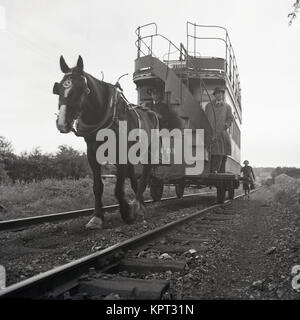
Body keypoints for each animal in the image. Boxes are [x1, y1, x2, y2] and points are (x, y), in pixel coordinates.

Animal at [52, 55, 158, 230]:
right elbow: (98, 186)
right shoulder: (92, 152)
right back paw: (140, 205)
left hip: (147, 150)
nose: (62, 123)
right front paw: (97, 217)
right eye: (58, 87)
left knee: (145, 174)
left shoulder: (120, 152)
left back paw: (138, 206)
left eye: (81, 88)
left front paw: (127, 212)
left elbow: (118, 189)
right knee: (134, 178)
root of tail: (151, 112)